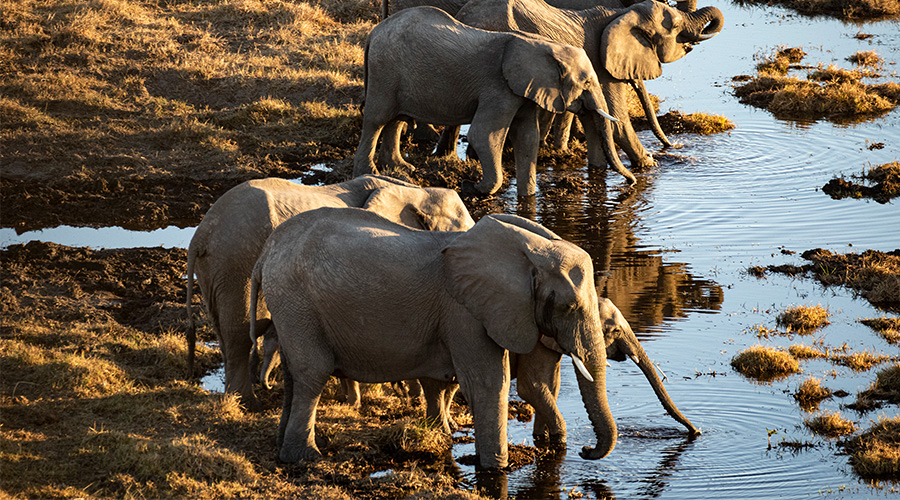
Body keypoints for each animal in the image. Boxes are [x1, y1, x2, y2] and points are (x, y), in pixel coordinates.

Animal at [185, 175, 474, 411]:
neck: (415, 191)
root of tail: (201, 235)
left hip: (215, 270)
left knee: (225, 331)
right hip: (237, 263)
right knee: (240, 331)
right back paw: (248, 405)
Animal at [250, 208, 617, 469]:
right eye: (569, 307)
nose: (585, 450)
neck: (528, 251)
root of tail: (266, 251)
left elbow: (459, 381)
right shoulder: (465, 311)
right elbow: (487, 384)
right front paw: (495, 467)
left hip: (291, 307)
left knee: (295, 375)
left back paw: (284, 449)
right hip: (297, 302)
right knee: (313, 373)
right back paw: (305, 458)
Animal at [352, 6, 633, 197]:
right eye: (586, 84)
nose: (631, 183)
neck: (542, 44)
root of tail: (374, 32)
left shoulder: (523, 91)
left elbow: (528, 137)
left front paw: (527, 196)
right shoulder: (498, 89)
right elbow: (484, 134)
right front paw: (471, 186)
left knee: (397, 120)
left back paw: (401, 170)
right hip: (384, 70)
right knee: (377, 119)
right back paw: (371, 173)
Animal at [451, 0, 724, 171]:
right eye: (675, 26)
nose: (673, 146)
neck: (621, 14)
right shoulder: (601, 65)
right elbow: (617, 120)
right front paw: (649, 164)